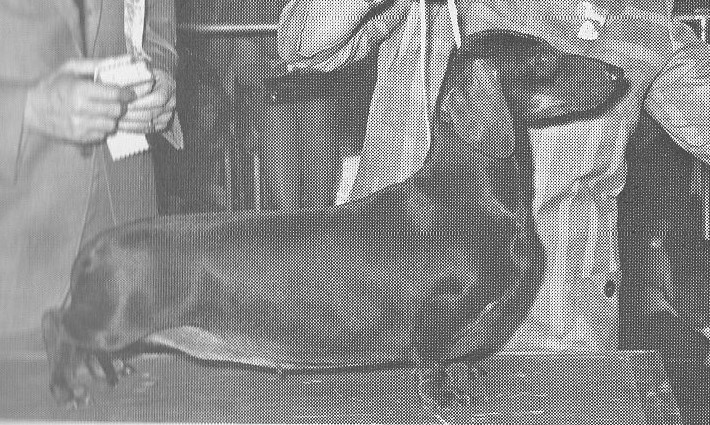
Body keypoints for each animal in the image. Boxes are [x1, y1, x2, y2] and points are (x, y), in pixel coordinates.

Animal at [42, 30, 627, 410]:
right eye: (545, 58)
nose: (621, 72)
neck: (474, 198)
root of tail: (93, 248)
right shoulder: (437, 317)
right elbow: (435, 364)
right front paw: (445, 401)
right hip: (110, 320)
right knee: (56, 324)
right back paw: (68, 387)